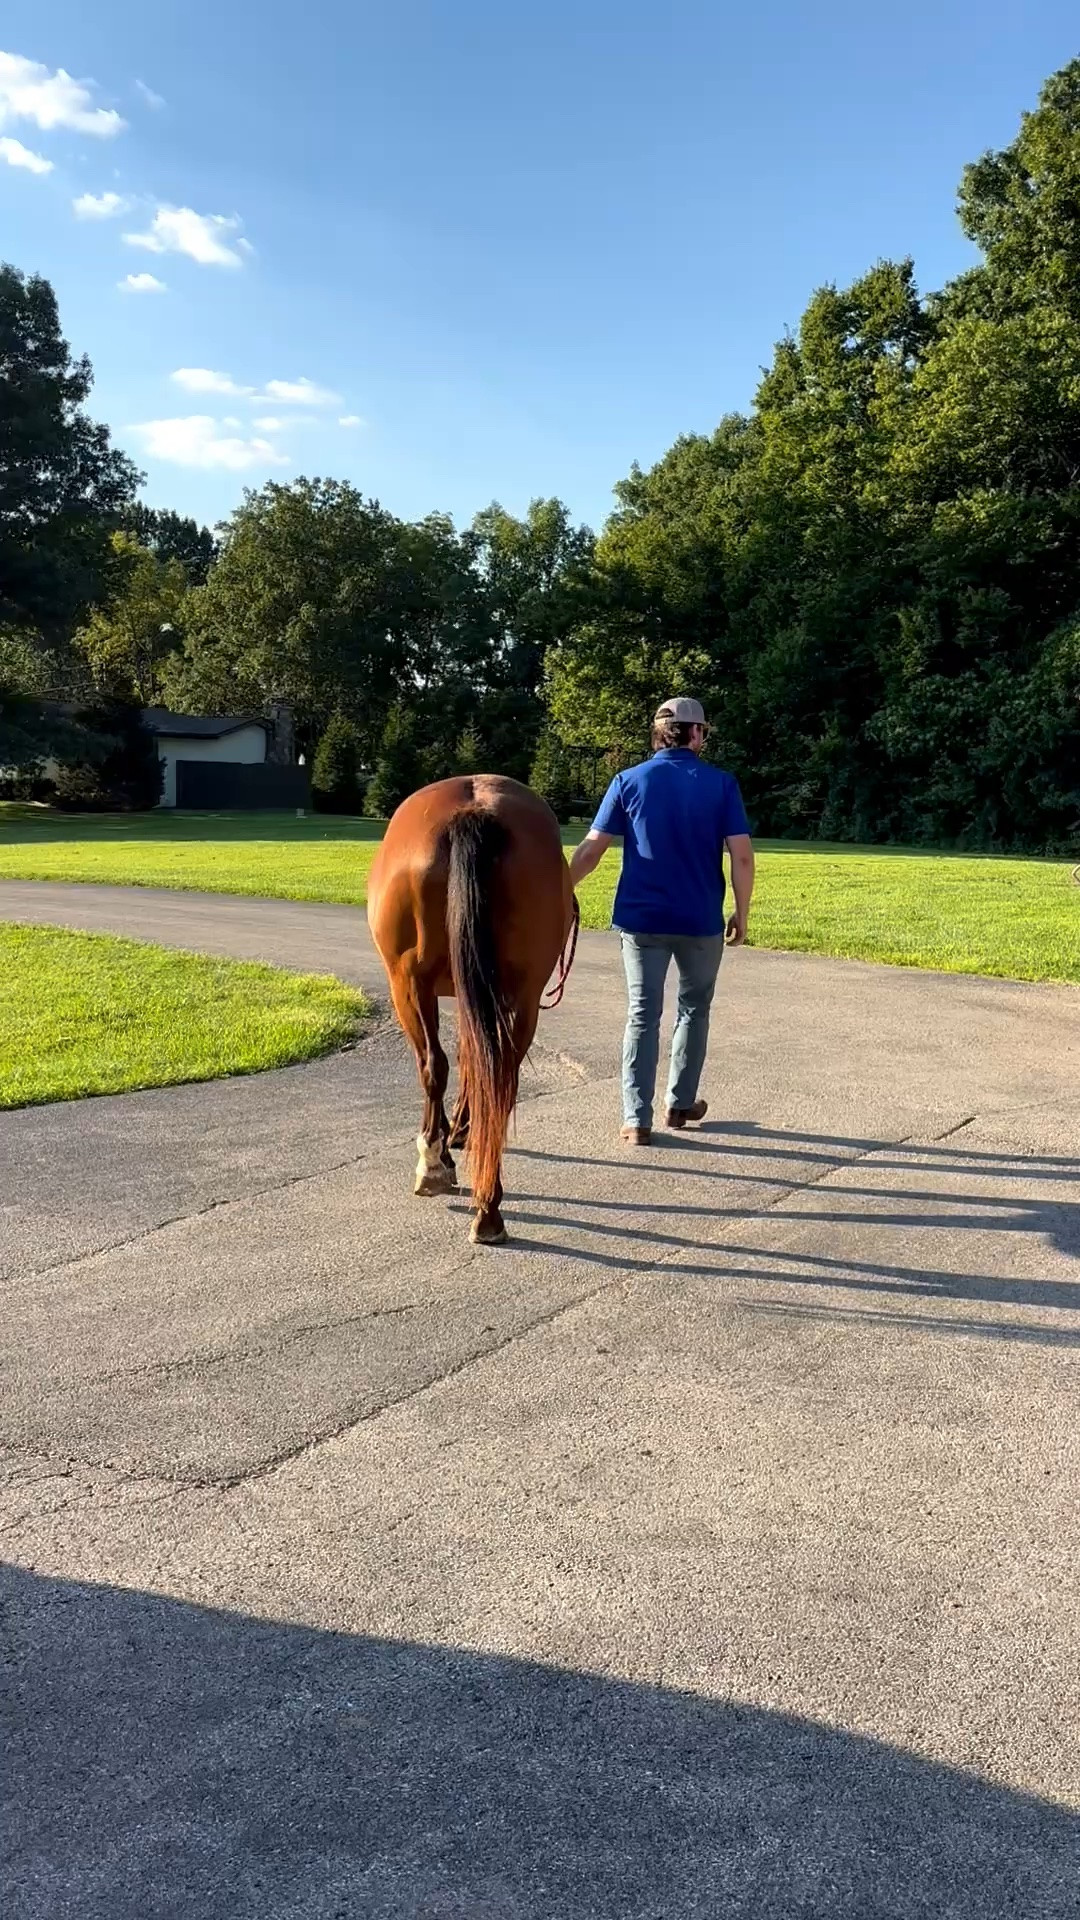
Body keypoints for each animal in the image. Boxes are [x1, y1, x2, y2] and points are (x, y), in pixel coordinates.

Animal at [367, 774, 576, 1245]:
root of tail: (474, 811)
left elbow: (444, 1064)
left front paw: (442, 1149)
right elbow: (473, 1059)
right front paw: (463, 1130)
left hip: (407, 983)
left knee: (434, 1065)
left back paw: (435, 1165)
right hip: (522, 995)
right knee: (500, 1076)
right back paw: (488, 1207)